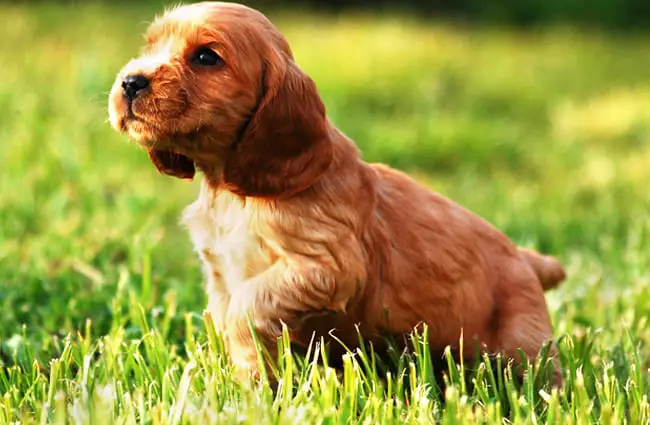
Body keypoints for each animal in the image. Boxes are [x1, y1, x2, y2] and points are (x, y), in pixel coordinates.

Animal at [106, 0, 560, 384]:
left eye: (205, 57)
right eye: (151, 46)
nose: (129, 82)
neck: (232, 194)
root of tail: (528, 259)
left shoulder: (328, 266)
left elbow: (245, 309)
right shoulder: (221, 274)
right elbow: (224, 319)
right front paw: (236, 383)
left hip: (522, 345)